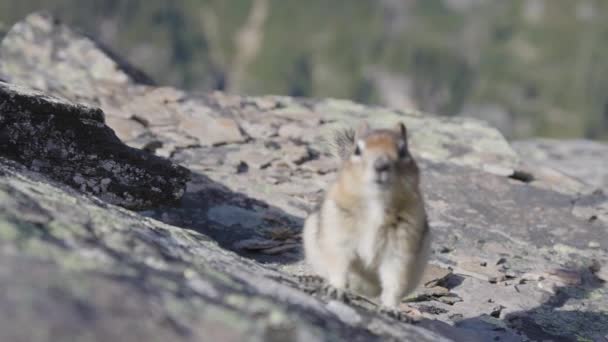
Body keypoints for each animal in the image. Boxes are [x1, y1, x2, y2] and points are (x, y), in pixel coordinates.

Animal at [302, 120, 428, 312]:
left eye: (403, 151)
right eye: (357, 150)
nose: (381, 165)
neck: (376, 201)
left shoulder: (401, 246)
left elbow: (395, 279)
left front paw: (391, 308)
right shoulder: (339, 231)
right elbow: (339, 263)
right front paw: (336, 289)